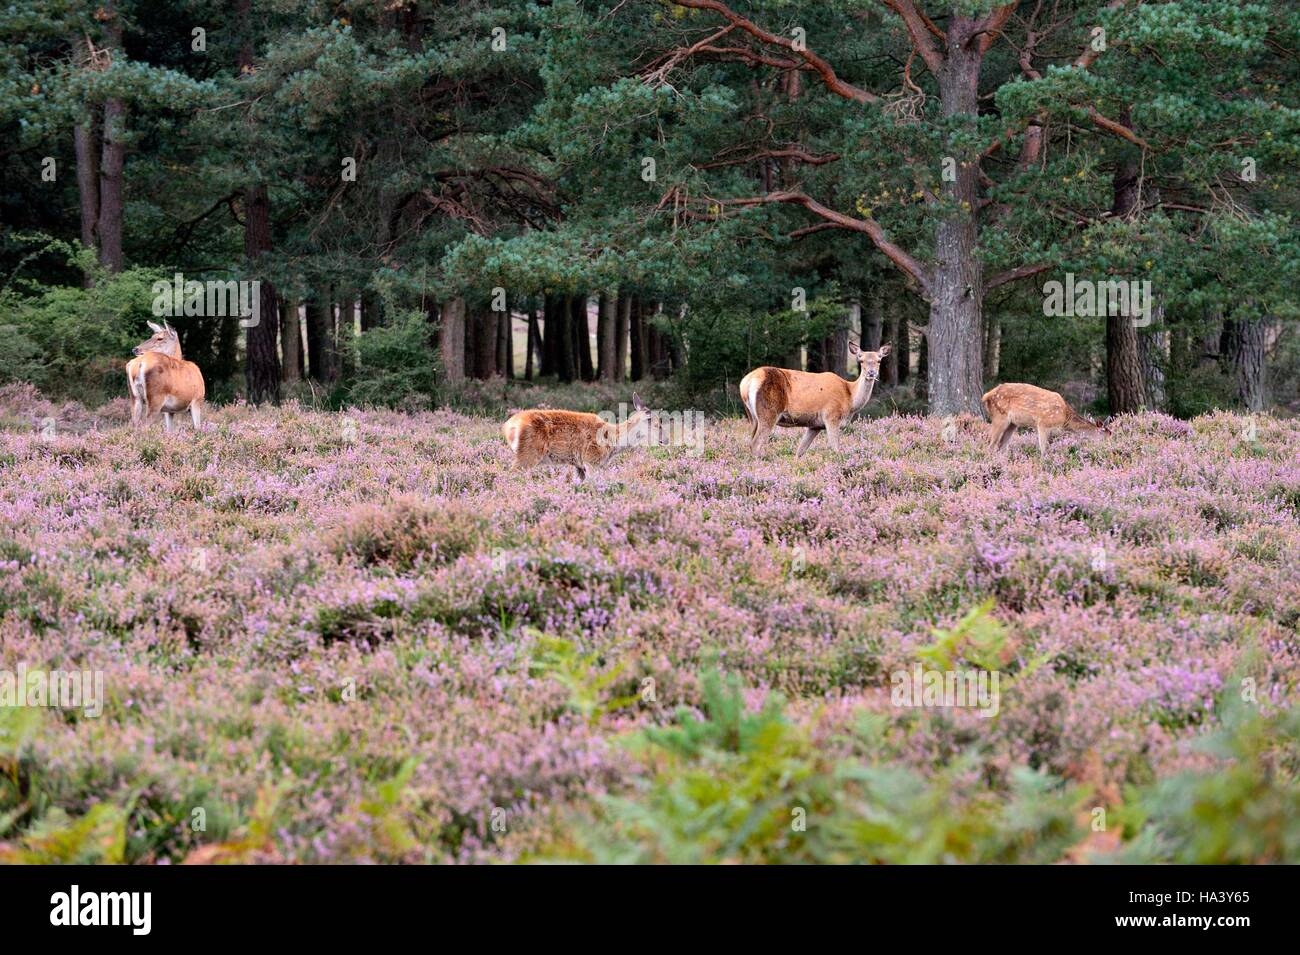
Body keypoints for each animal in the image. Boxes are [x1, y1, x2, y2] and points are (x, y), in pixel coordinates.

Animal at [502, 393, 654, 483]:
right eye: (652, 420)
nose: (659, 440)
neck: (612, 441)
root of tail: (508, 426)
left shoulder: (579, 465)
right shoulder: (591, 459)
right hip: (529, 452)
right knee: (510, 475)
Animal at [739, 341, 891, 456]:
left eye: (879, 360)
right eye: (861, 360)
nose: (871, 373)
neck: (850, 398)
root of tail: (746, 382)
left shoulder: (815, 425)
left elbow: (800, 451)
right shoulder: (831, 416)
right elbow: (835, 448)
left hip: (752, 417)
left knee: (750, 441)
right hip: (769, 411)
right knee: (755, 443)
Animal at [981, 383, 1109, 455]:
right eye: (1105, 436)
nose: (1108, 448)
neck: (1065, 418)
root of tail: (986, 396)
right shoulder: (1043, 423)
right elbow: (1044, 450)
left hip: (1012, 423)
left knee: (1001, 447)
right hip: (999, 416)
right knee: (990, 444)